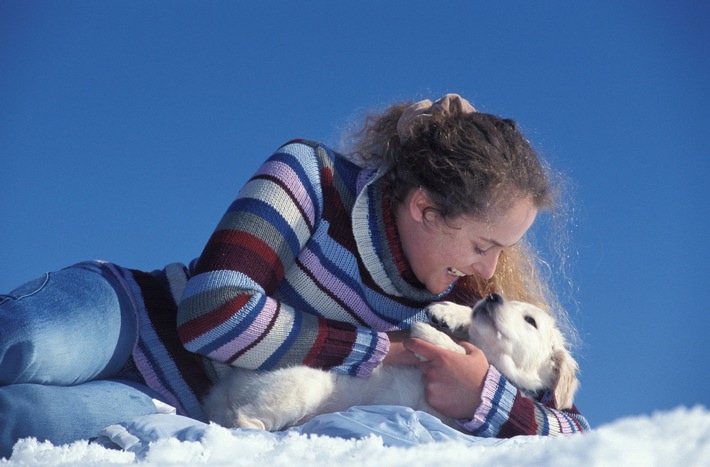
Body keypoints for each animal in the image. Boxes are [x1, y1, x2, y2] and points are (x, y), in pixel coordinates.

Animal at [203, 294, 580, 434]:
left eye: (530, 321)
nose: (493, 296)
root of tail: (222, 389)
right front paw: (449, 313)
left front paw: (434, 333)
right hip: (300, 388)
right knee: (241, 417)